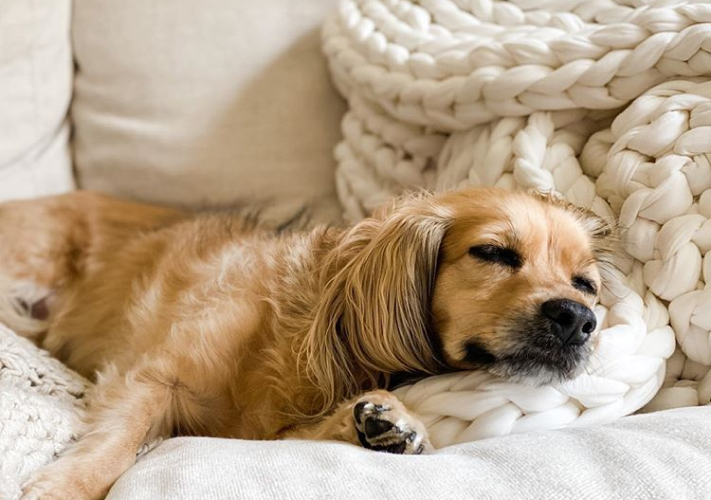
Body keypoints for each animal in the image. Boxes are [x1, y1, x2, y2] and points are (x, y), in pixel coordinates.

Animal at [0, 188, 616, 500]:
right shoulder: (150, 378)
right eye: (492, 253)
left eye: (586, 285)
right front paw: (64, 488)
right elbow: (114, 446)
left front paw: (388, 420)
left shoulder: (264, 432)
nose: (577, 319)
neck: (300, 328)